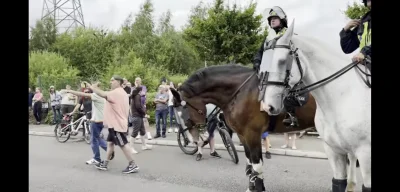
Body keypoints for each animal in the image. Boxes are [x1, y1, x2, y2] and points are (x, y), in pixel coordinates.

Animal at [169, 64, 316, 192]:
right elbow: (250, 164)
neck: (242, 92)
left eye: (184, 113)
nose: (190, 141)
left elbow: (256, 165)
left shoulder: (253, 134)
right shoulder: (243, 134)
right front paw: (252, 187)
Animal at [260, 19, 370, 192]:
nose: (268, 106)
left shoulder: (366, 155)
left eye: (282, 61)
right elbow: (338, 183)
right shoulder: (334, 151)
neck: (342, 96)